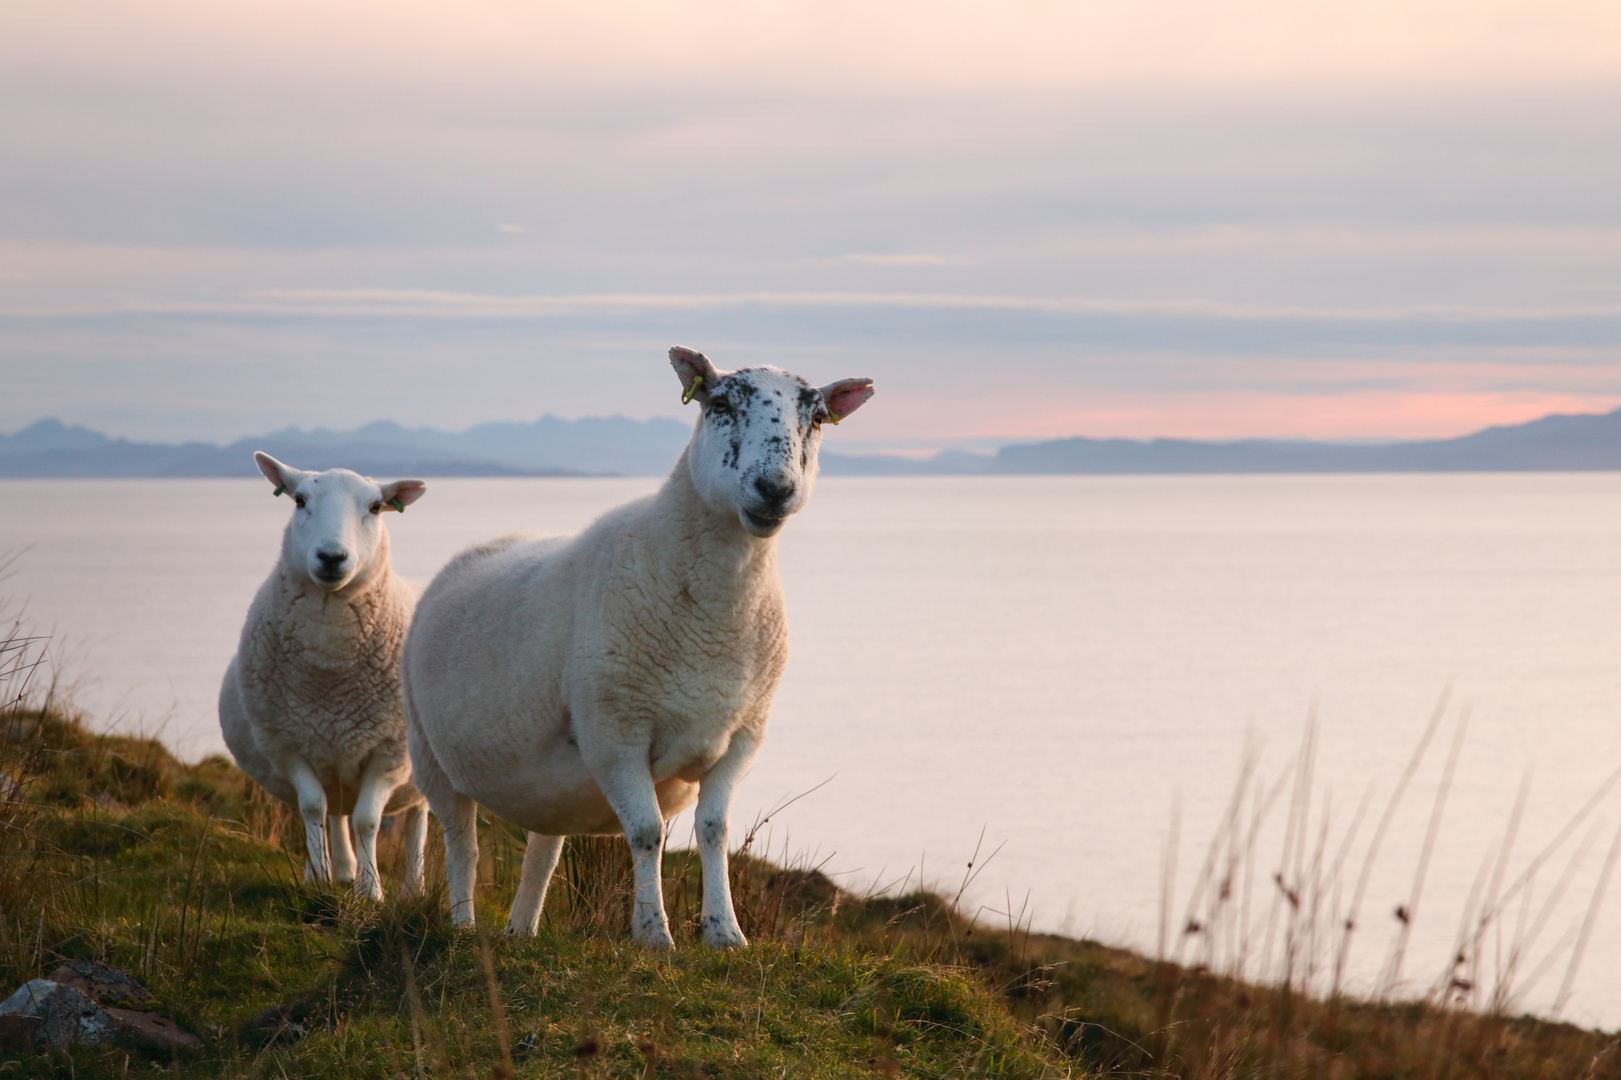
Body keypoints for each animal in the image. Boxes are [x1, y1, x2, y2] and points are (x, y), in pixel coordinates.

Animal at [222, 450, 437, 895]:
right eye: (299, 500)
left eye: (375, 507)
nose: (332, 557)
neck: (329, 671)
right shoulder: (286, 745)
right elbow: (311, 808)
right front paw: (319, 878)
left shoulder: (390, 753)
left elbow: (369, 820)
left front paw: (372, 891)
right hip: (331, 760)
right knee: (334, 813)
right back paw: (337, 870)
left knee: (415, 823)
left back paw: (413, 888)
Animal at [403, 347, 875, 940]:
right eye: (720, 404)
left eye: (815, 419)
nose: (775, 489)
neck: (715, 621)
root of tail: (484, 546)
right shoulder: (615, 732)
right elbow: (648, 832)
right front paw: (653, 932)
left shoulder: (743, 735)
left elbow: (715, 830)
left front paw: (725, 933)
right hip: (430, 756)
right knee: (462, 845)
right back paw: (464, 926)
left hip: (546, 786)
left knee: (541, 852)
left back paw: (520, 932)